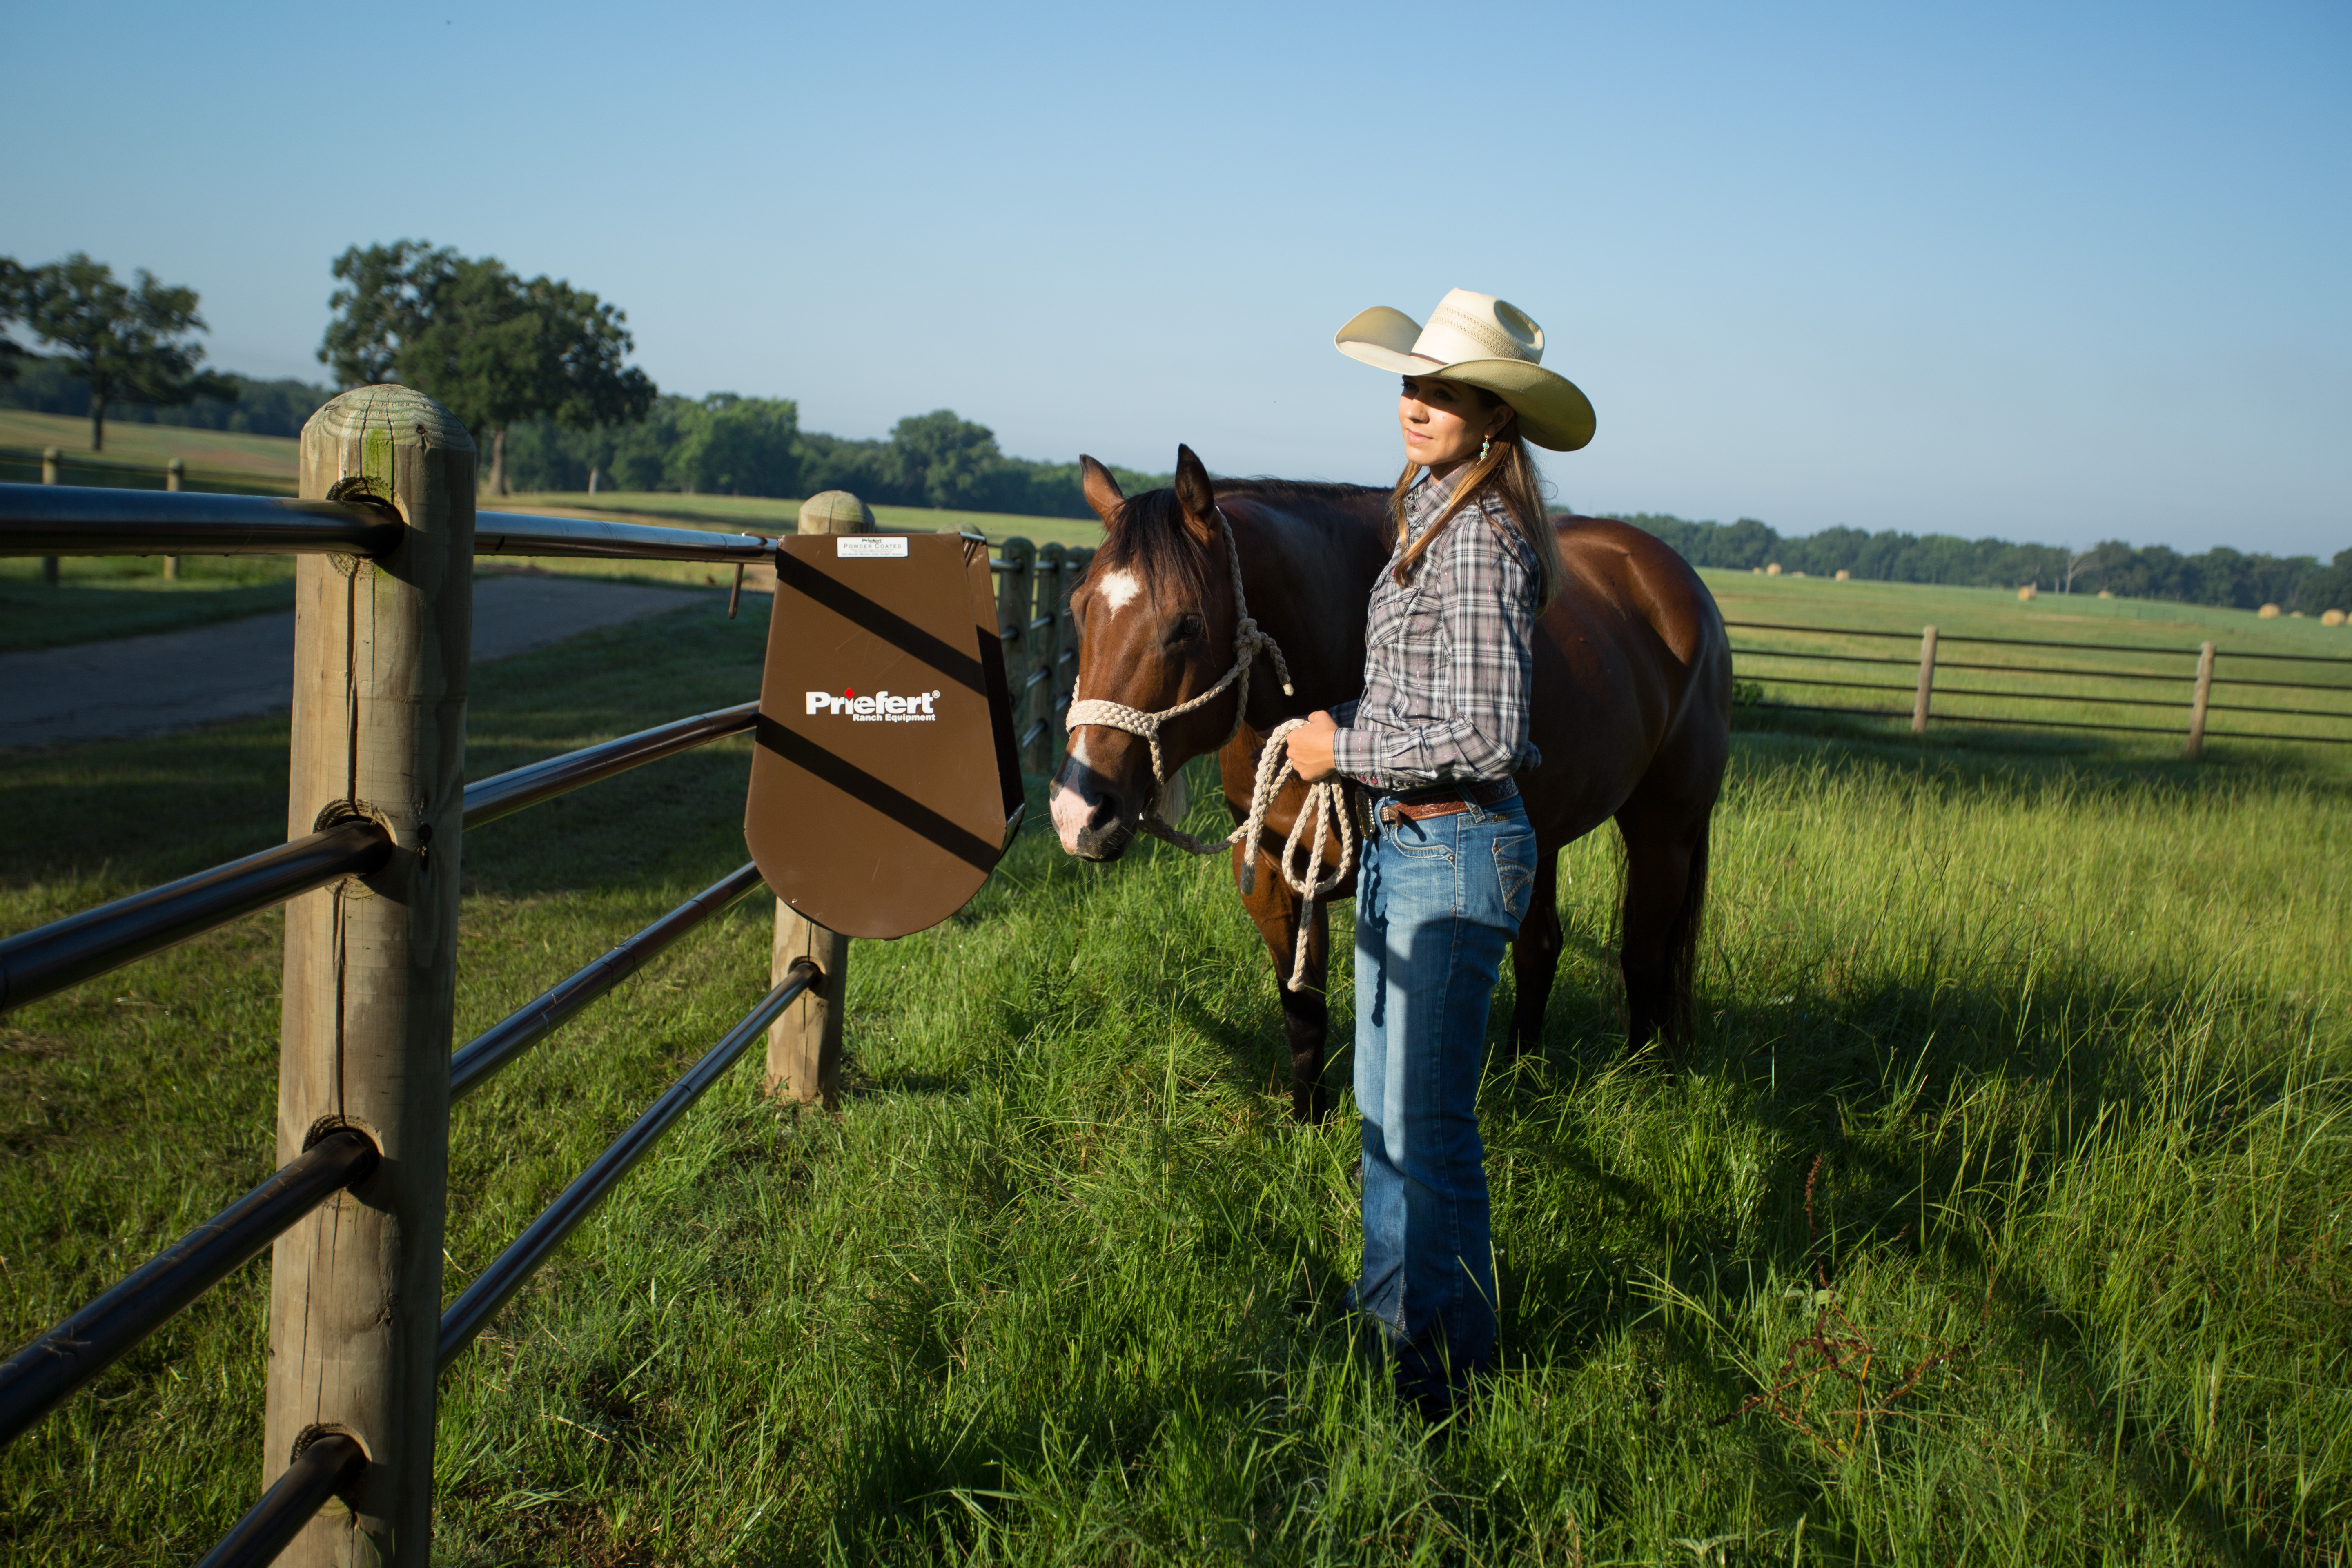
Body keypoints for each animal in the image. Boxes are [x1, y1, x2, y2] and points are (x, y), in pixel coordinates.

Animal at [1048, 445, 1731, 1122]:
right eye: (1079, 609)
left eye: (1186, 624)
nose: (1078, 812)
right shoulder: (1273, 874)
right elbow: (1303, 1008)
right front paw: (1307, 1123)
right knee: (1541, 946)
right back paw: (1523, 1070)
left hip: (1665, 829)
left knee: (1644, 954)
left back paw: (1645, 1082)